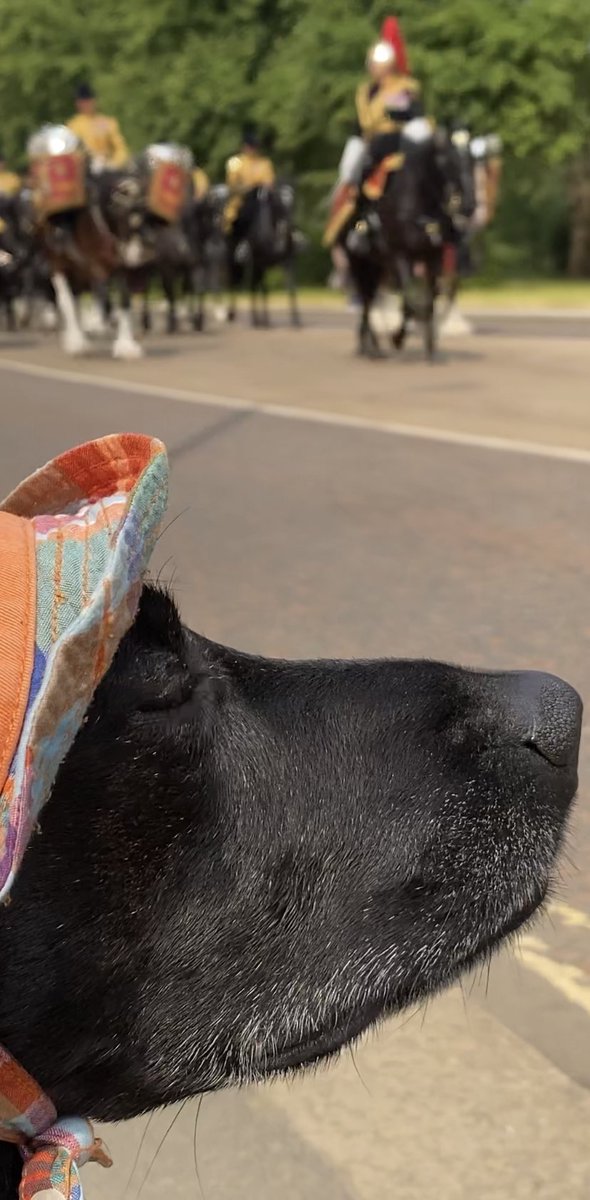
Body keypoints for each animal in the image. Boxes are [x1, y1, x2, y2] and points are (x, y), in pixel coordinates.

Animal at [224, 181, 299, 328]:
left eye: (293, 202)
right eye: (278, 202)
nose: (287, 227)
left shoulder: (287, 262)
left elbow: (291, 288)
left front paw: (296, 321)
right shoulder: (260, 262)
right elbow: (264, 290)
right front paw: (264, 321)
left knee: (253, 284)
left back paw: (258, 319)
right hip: (239, 262)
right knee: (238, 283)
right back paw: (239, 316)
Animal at [342, 120, 467, 360]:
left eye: (466, 159)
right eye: (446, 160)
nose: (467, 203)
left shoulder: (432, 258)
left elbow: (430, 299)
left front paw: (430, 347)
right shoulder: (401, 256)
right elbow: (409, 299)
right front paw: (398, 337)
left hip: (378, 267)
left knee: (371, 300)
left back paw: (372, 345)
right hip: (360, 265)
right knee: (366, 301)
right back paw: (368, 346)